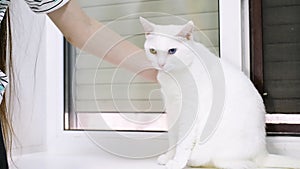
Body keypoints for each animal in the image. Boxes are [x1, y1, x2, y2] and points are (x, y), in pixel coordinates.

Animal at [139, 17, 300, 169]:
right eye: (153, 51)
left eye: (172, 51)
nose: (161, 64)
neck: (175, 76)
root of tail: (262, 152)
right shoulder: (172, 107)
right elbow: (173, 137)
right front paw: (168, 157)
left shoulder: (189, 111)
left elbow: (183, 140)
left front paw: (177, 161)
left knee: (240, 164)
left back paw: (194, 159)